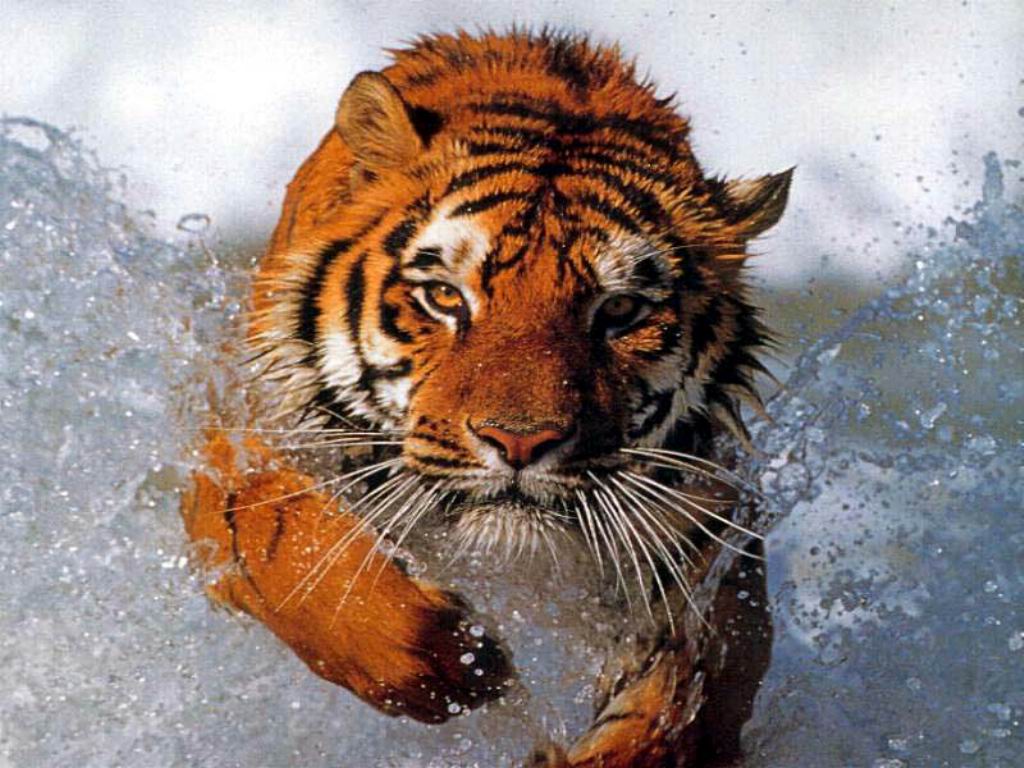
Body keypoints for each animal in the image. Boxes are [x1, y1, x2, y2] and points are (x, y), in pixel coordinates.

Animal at [181, 29, 790, 767]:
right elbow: (289, 546)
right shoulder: (243, 439)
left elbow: (680, 702)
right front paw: (456, 663)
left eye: (619, 311)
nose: (521, 442)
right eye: (445, 296)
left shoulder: (708, 551)